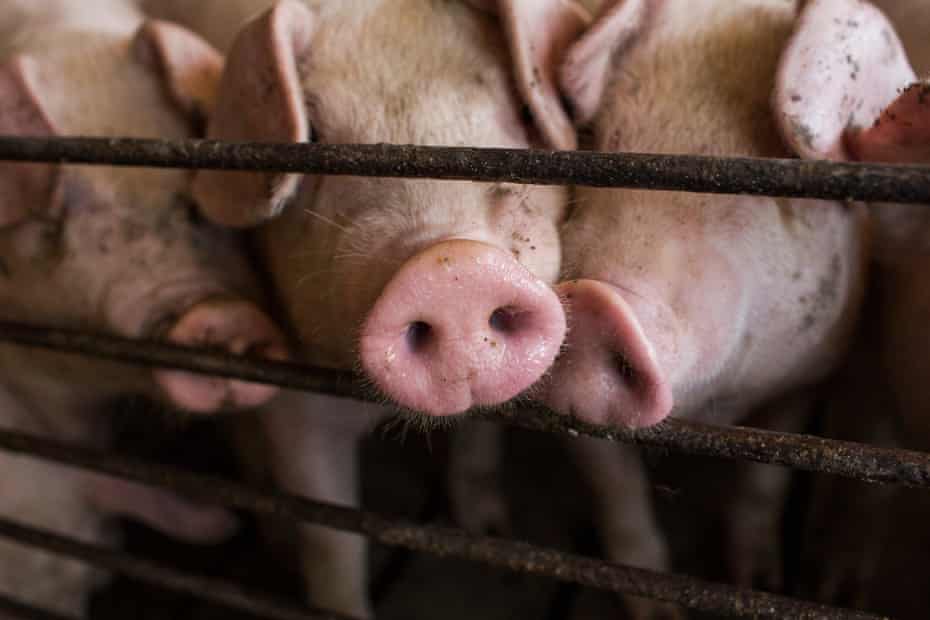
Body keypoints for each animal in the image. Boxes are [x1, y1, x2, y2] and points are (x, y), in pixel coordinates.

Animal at [179, 0, 599, 615]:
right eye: (315, 139)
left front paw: (490, 538)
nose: (452, 269)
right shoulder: (291, 394)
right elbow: (331, 543)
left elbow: (477, 442)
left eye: (521, 111)